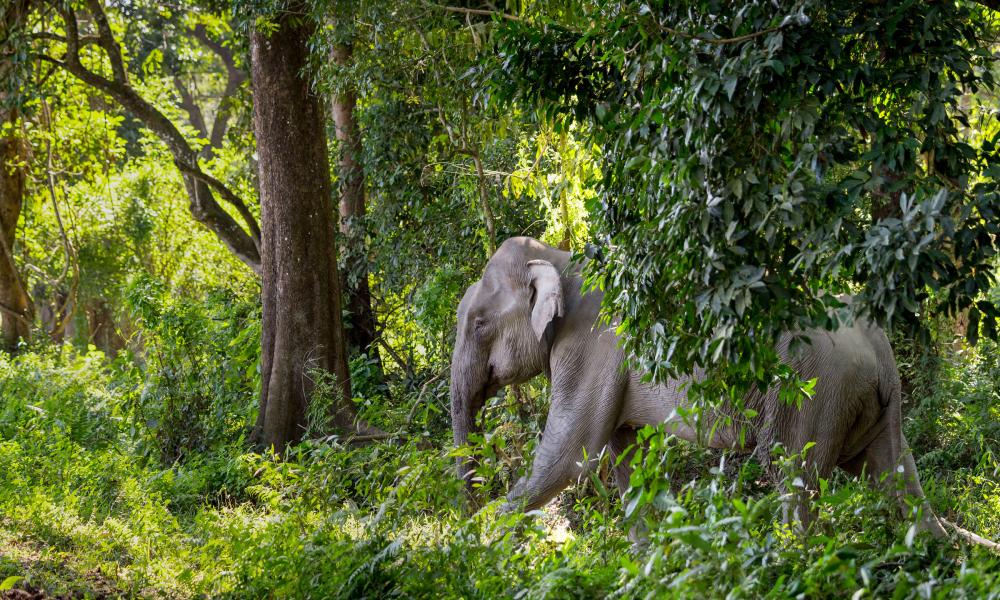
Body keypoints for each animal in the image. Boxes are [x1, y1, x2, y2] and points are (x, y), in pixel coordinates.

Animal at [450, 236, 953, 538]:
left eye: (479, 324)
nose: (468, 508)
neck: (558, 258)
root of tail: (877, 345)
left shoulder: (591, 349)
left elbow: (569, 458)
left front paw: (471, 543)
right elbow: (628, 463)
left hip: (813, 393)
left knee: (791, 475)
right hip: (873, 404)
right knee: (896, 475)